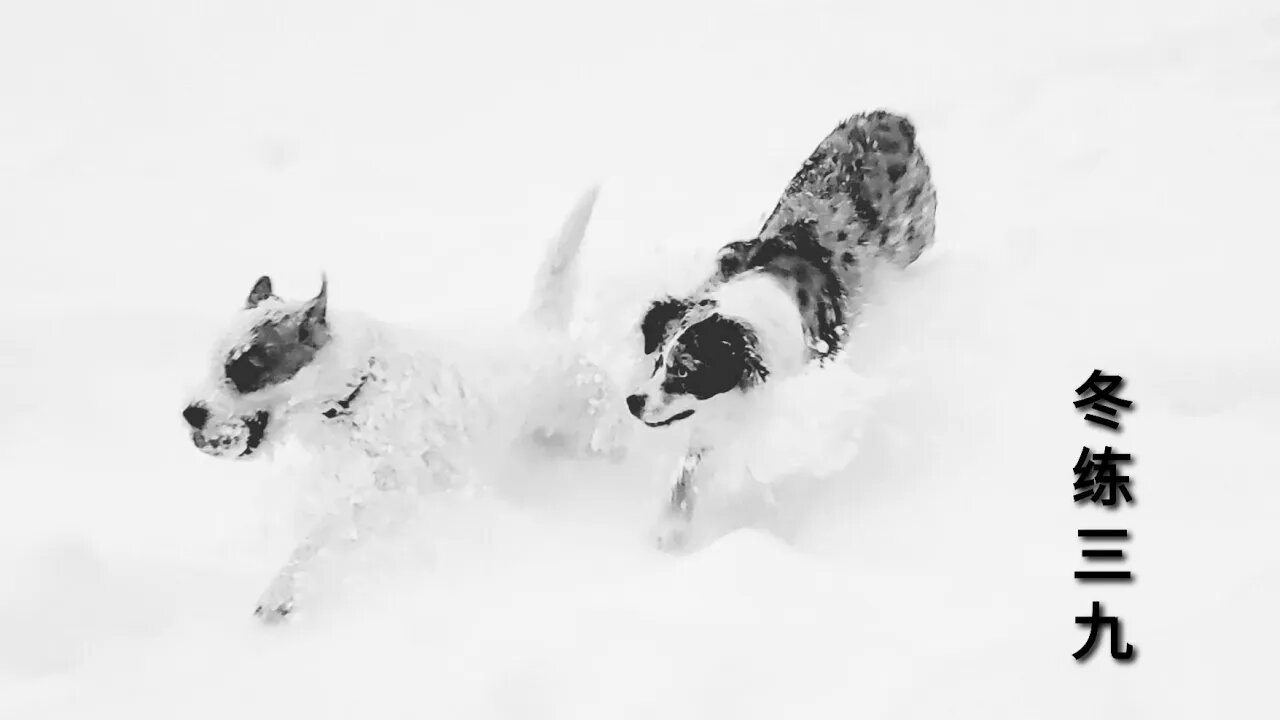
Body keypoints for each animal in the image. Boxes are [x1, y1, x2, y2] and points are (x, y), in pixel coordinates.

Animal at [181, 188, 624, 620]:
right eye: (215, 363)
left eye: (244, 368)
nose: (190, 413)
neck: (359, 390)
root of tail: (541, 331)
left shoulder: (386, 488)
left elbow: (323, 534)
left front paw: (284, 587)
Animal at [632, 110, 942, 548]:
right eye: (658, 361)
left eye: (684, 371)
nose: (633, 401)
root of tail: (889, 118)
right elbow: (689, 470)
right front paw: (671, 528)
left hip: (915, 237)